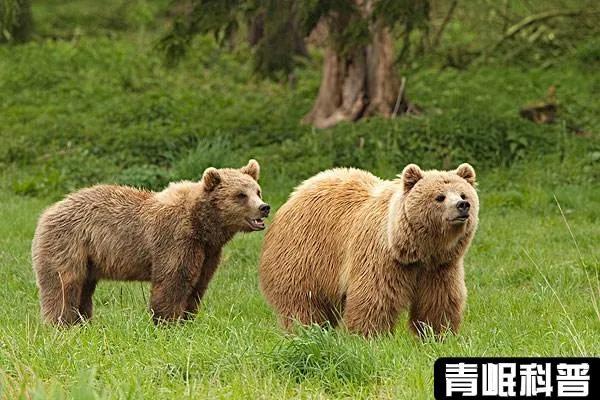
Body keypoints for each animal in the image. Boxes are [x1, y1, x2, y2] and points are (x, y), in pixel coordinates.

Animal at [30, 159, 270, 324]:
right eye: (240, 195)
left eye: (257, 191)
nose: (264, 207)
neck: (202, 225)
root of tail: (48, 211)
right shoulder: (176, 240)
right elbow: (173, 281)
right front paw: (167, 322)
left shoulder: (208, 252)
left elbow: (198, 285)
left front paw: (187, 320)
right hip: (68, 242)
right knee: (64, 284)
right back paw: (61, 323)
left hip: (89, 258)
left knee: (84, 288)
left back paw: (83, 322)